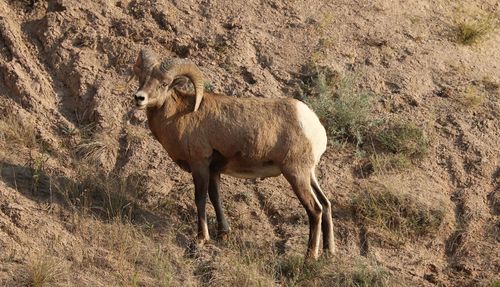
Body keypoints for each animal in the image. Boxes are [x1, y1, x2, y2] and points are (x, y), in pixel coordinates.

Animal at [131, 48, 334, 260]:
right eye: (142, 78)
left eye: (164, 83)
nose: (139, 98)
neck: (181, 115)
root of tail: (314, 126)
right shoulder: (214, 170)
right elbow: (215, 197)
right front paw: (223, 233)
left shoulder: (200, 165)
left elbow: (200, 198)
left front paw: (201, 238)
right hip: (309, 174)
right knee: (326, 204)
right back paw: (329, 251)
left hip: (296, 174)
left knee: (315, 209)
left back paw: (310, 256)